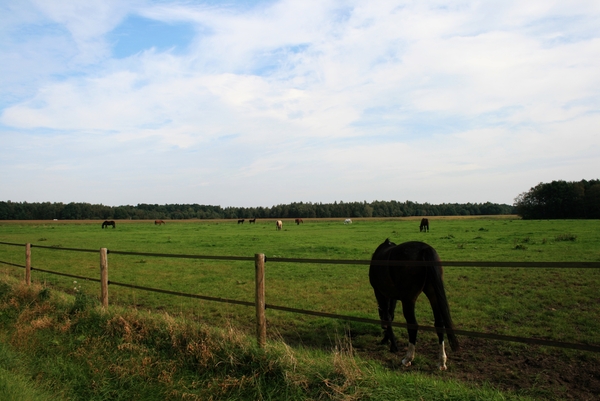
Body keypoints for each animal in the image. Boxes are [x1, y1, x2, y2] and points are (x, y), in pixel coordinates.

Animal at [366, 238, 460, 368]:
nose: (382, 327)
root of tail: (425, 249)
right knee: (439, 324)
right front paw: (387, 339)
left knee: (413, 325)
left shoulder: (380, 292)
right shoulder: (392, 295)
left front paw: (392, 345)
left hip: (408, 299)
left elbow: (388, 316)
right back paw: (441, 362)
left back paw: (407, 359)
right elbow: (391, 315)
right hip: (433, 294)